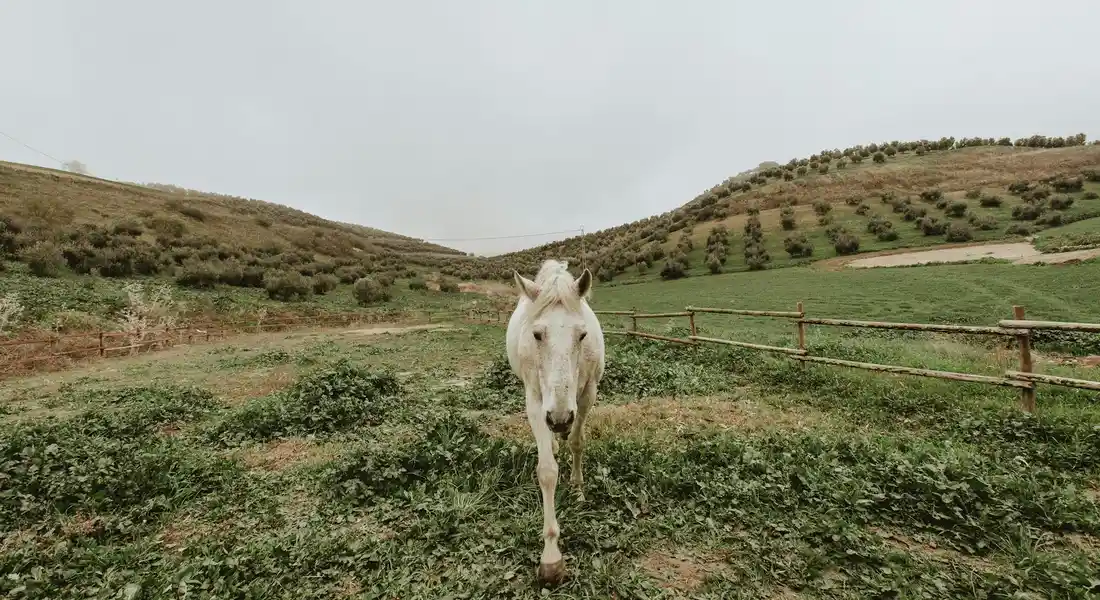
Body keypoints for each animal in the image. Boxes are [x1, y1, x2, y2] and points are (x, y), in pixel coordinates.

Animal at [506, 259, 605, 586]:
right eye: (537, 335)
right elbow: (547, 471)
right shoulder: (535, 401)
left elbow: (577, 441)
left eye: (582, 335)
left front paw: (577, 488)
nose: (560, 418)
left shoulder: (587, 394)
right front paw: (551, 556)